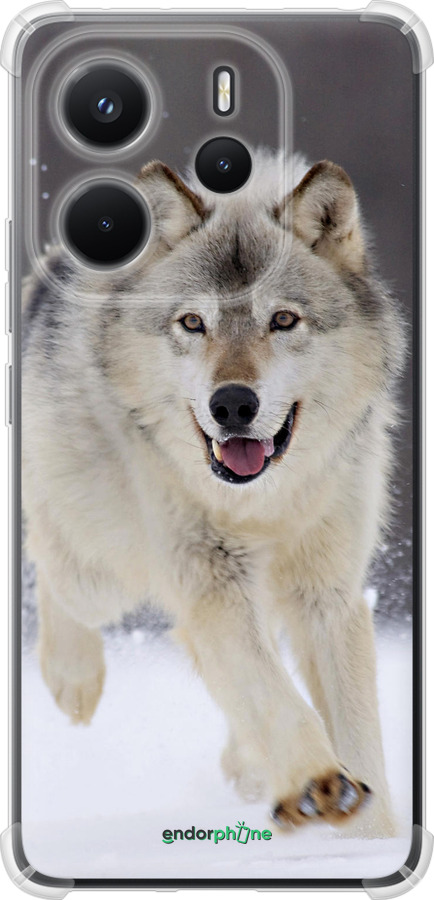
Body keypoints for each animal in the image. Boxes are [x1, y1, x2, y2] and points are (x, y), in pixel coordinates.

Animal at [22, 150, 404, 837]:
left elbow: (357, 732)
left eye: (283, 319)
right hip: (103, 572)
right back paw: (74, 680)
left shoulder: (327, 594)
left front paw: (372, 837)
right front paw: (318, 783)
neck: (263, 504)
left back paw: (249, 767)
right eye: (193, 323)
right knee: (49, 559)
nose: (231, 404)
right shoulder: (211, 582)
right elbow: (274, 695)